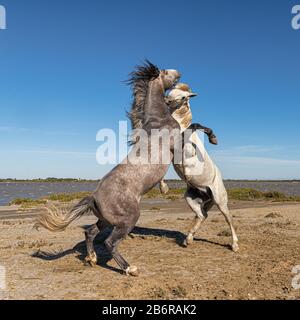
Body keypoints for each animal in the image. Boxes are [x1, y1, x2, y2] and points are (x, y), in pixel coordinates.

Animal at [35, 61, 180, 276]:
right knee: (110, 242)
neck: (157, 119)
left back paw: (92, 259)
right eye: (165, 72)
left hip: (106, 220)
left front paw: (164, 187)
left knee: (90, 232)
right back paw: (129, 268)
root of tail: (94, 197)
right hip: (128, 219)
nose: (179, 73)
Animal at [161, 84, 240, 252]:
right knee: (202, 215)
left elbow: (195, 125)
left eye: (184, 97)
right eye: (170, 91)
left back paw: (235, 245)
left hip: (220, 201)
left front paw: (213, 138)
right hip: (191, 199)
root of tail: (208, 195)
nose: (167, 101)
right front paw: (164, 188)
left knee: (228, 219)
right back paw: (188, 240)